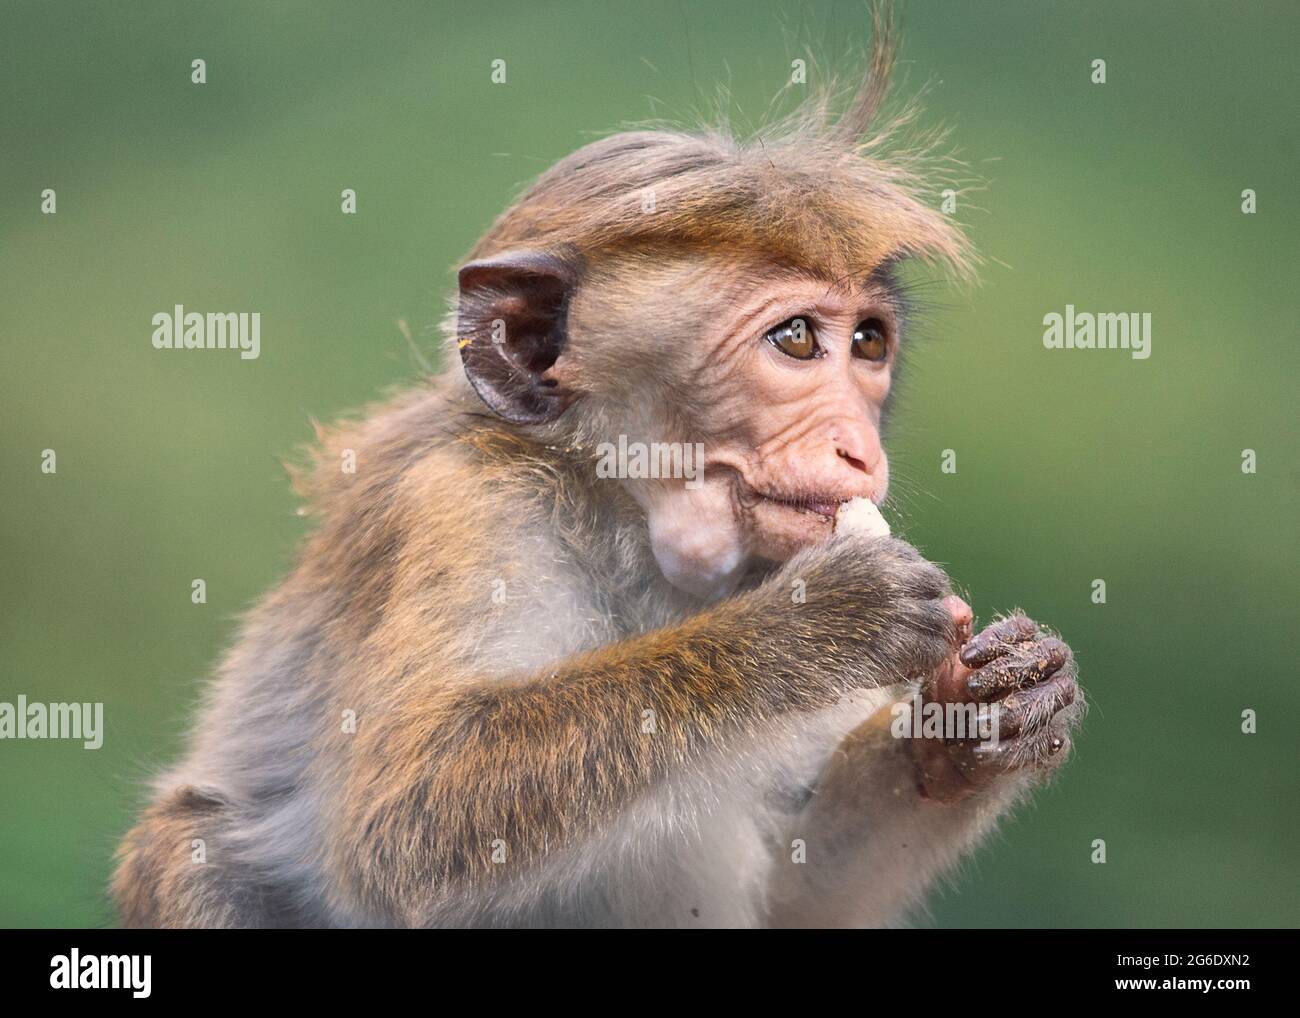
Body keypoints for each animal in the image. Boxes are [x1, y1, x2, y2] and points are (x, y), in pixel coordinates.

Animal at [114, 19, 1086, 925]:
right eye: (797, 339)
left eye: (870, 344)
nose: (860, 448)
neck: (625, 525)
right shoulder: (465, 504)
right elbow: (407, 815)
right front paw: (816, 623)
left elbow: (800, 897)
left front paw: (984, 712)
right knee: (197, 846)